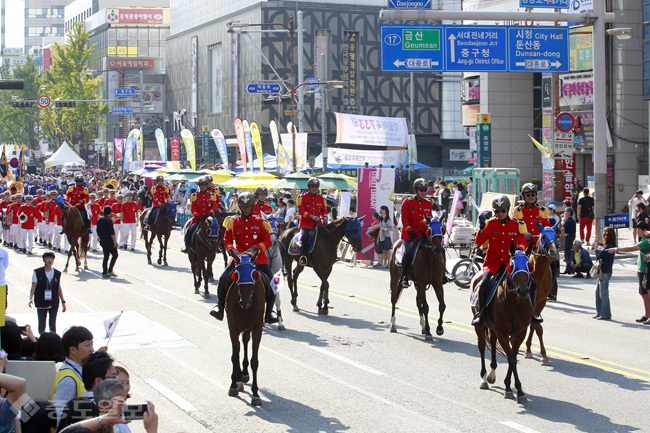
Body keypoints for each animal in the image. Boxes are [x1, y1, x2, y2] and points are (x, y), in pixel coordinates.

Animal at [224, 250, 268, 404]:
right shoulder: (233, 328)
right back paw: (239, 378)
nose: (246, 302)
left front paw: (255, 393)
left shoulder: (257, 329)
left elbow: (255, 361)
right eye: (236, 275)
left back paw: (243, 374)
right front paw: (233, 385)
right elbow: (234, 356)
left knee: (245, 342)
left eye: (254, 274)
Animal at [470, 248, 532, 404]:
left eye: (529, 264)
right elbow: (511, 358)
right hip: (480, 327)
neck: (514, 302)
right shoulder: (502, 331)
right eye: (512, 265)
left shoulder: (520, 332)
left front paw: (512, 388)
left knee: (492, 344)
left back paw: (492, 374)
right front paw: (514, 390)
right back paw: (484, 378)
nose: (522, 290)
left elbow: (513, 357)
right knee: (481, 347)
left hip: (493, 328)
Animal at [520, 223, 556, 364]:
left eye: (556, 234)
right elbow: (535, 326)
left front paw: (535, 351)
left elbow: (535, 326)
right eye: (544, 236)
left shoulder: (541, 301)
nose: (554, 252)